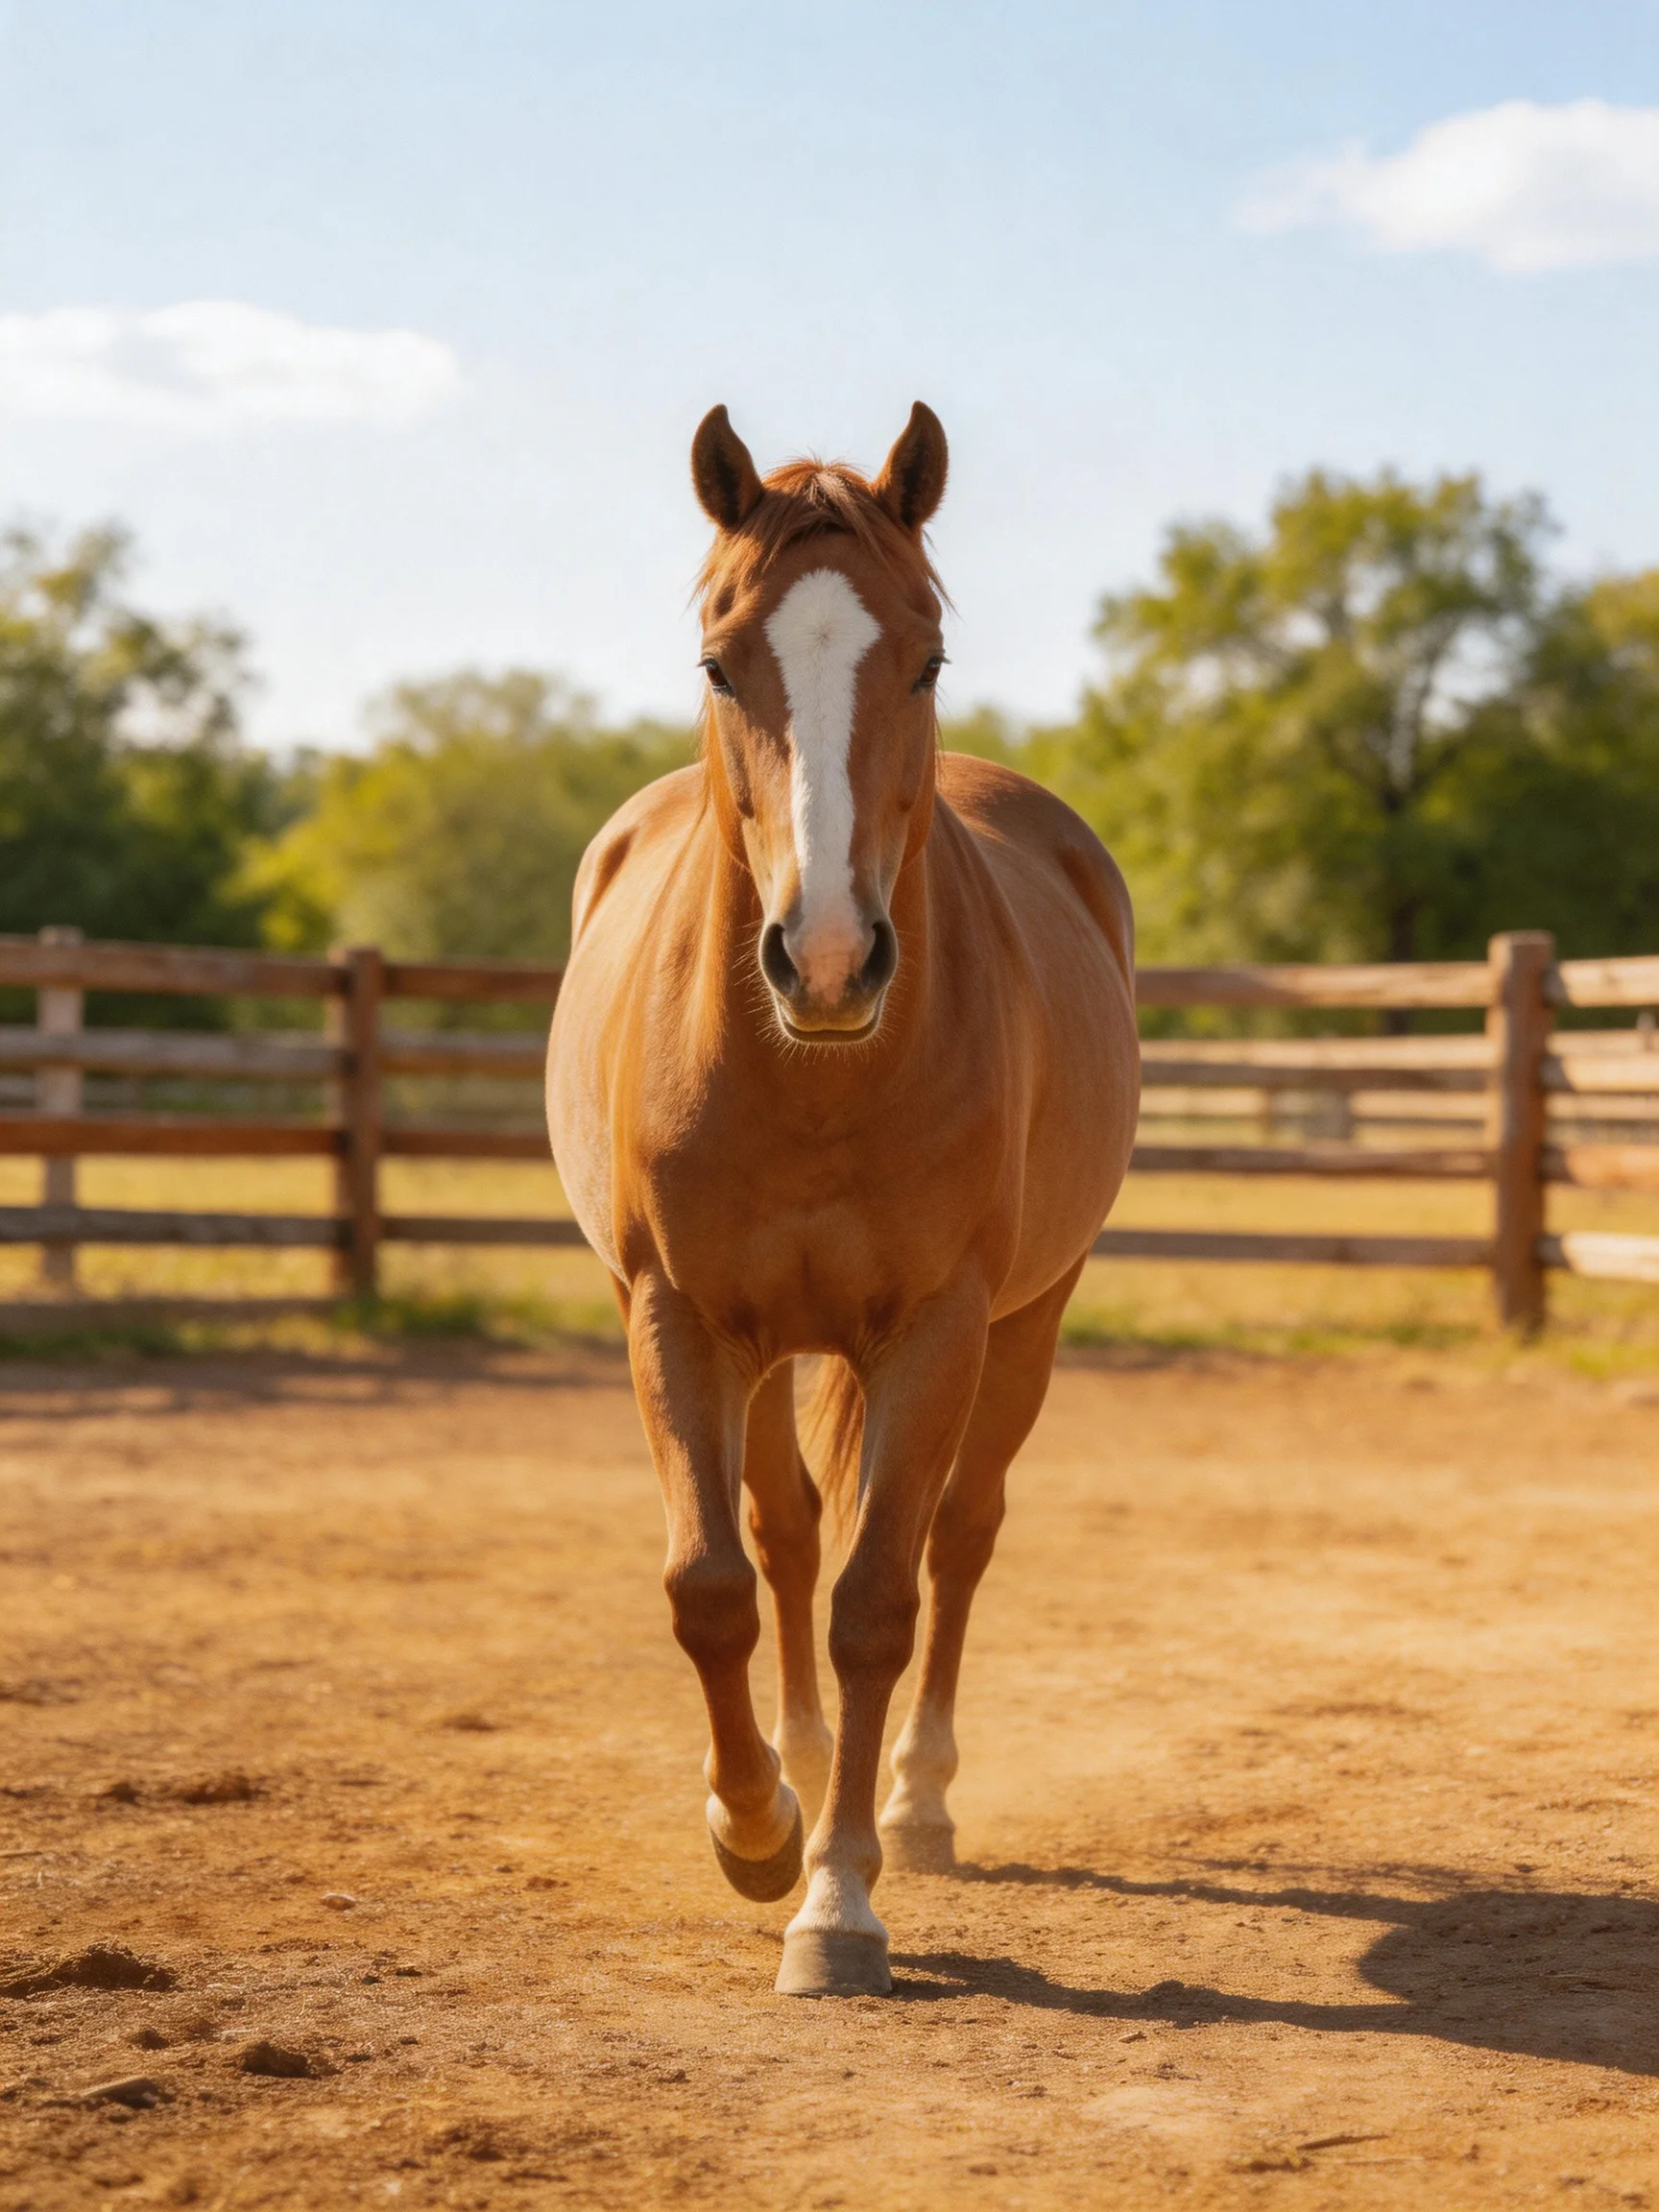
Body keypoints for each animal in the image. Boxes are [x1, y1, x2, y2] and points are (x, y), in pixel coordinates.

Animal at [546, 402, 1139, 1998]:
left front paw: (840, 1899)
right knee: (784, 1534)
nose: (823, 959)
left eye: (924, 657)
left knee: (959, 1536)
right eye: (716, 660)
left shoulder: (938, 1330)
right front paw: (756, 1828)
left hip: (1026, 1326)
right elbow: (713, 1583)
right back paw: (803, 1769)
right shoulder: (679, 1319)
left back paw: (912, 1799)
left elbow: (881, 1598)